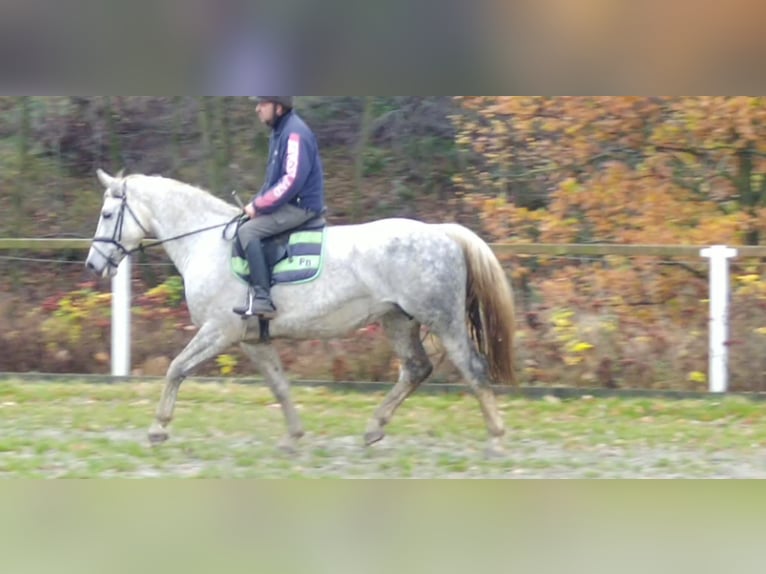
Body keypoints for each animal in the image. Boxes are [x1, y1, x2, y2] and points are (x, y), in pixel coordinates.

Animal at [85, 169, 516, 455]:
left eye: (107, 215)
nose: (93, 264)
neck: (208, 244)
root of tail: (442, 232)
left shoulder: (219, 331)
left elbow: (176, 368)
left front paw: (158, 428)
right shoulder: (252, 340)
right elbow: (279, 385)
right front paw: (293, 436)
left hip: (443, 321)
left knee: (472, 369)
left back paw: (496, 438)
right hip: (396, 320)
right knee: (415, 369)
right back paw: (374, 429)